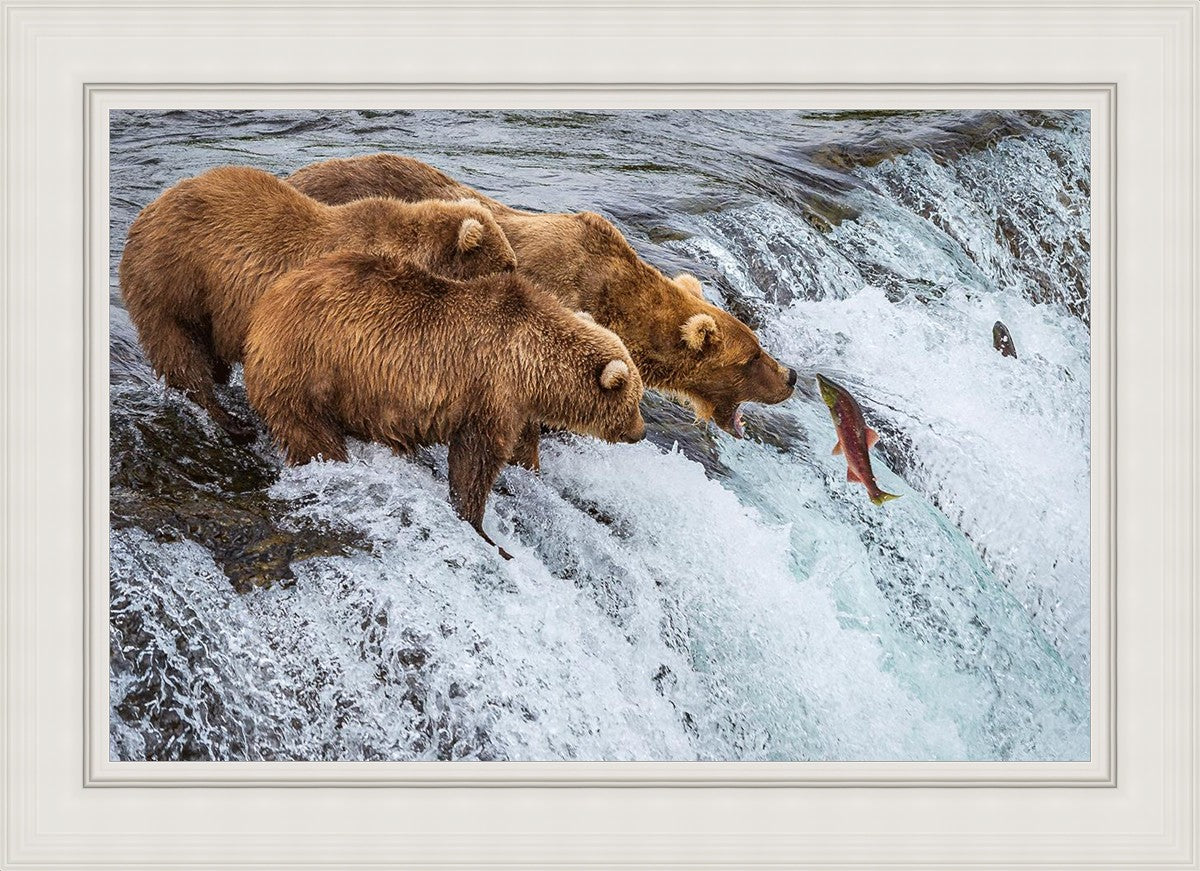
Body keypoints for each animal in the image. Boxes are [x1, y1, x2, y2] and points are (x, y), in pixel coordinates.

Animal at [118, 165, 517, 443]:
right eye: (507, 265)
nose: (519, 280)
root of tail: (147, 212)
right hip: (174, 280)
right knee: (180, 352)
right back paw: (231, 421)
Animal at [243, 249, 646, 559]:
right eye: (635, 401)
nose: (641, 432)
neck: (532, 365)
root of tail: (265, 306)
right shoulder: (490, 390)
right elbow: (475, 460)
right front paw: (483, 529)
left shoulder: (516, 404)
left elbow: (520, 447)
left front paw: (529, 471)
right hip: (310, 368)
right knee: (311, 432)